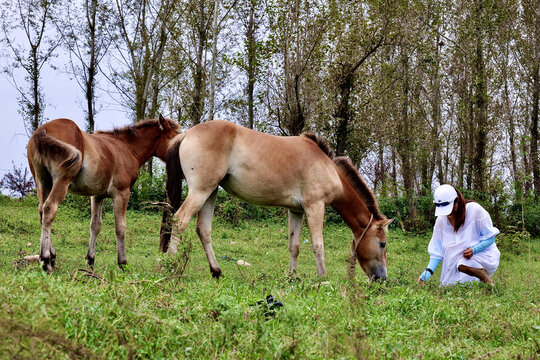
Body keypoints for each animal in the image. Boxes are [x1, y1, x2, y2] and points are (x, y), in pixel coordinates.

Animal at [28, 114, 179, 270]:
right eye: (174, 137)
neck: (126, 147)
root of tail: (43, 131)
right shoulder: (121, 193)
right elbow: (120, 227)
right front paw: (123, 262)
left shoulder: (97, 195)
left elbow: (95, 225)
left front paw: (90, 260)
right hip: (61, 182)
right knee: (50, 209)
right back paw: (46, 259)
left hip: (43, 182)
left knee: (42, 212)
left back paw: (51, 256)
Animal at [165, 119, 392, 280]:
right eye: (382, 244)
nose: (382, 278)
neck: (327, 167)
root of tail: (186, 134)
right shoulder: (315, 207)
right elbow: (318, 244)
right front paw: (323, 277)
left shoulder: (297, 211)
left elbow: (295, 246)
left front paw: (293, 277)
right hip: (200, 191)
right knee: (179, 221)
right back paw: (169, 267)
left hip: (210, 193)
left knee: (203, 229)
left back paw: (216, 271)